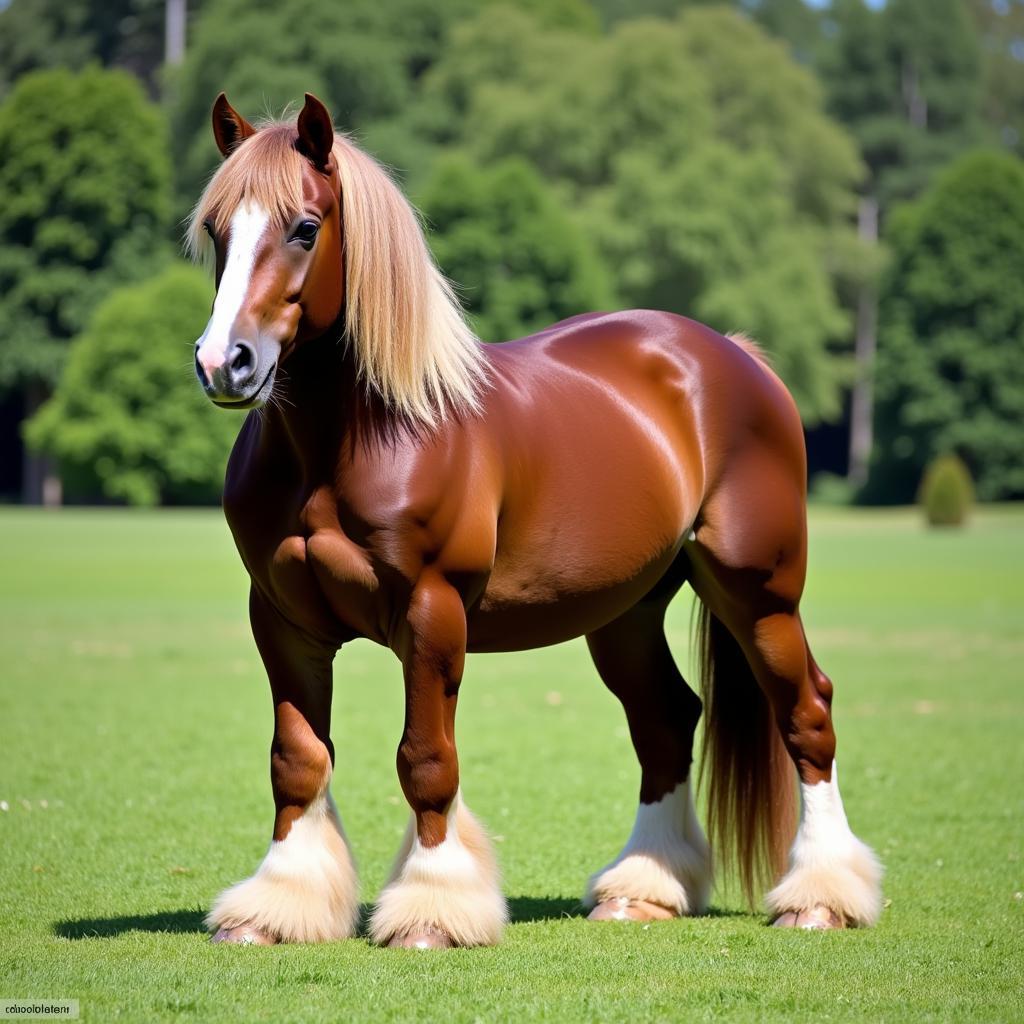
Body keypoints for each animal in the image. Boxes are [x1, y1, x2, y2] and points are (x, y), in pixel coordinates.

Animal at [190, 92, 880, 946]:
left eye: (304, 227)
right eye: (217, 230)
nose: (225, 363)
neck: (360, 438)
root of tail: (737, 357)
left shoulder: (431, 613)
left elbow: (426, 759)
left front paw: (432, 909)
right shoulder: (284, 621)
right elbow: (297, 759)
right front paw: (276, 906)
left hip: (759, 594)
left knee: (806, 712)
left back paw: (820, 897)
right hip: (626, 614)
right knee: (665, 721)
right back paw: (643, 890)